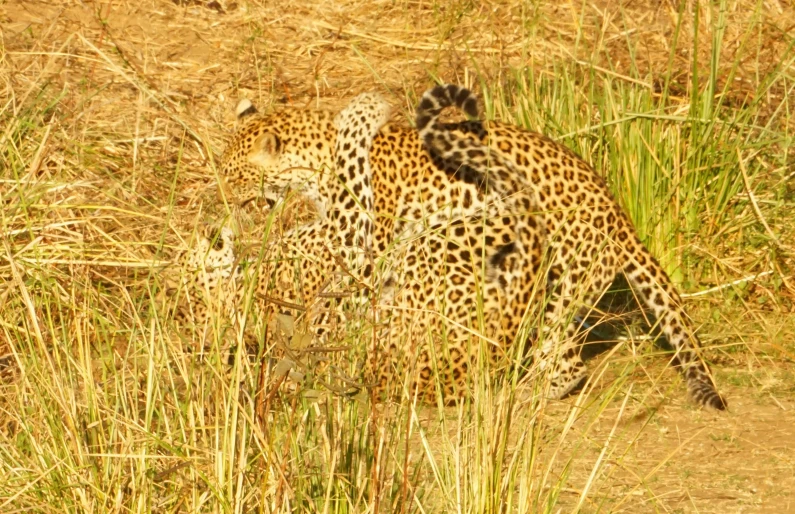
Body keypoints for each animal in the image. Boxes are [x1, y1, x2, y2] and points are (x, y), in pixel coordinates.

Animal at [202, 83, 724, 408]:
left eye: (233, 173)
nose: (218, 197)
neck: (318, 161)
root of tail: (619, 215)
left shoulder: (367, 236)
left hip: (564, 283)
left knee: (564, 359)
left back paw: (526, 393)